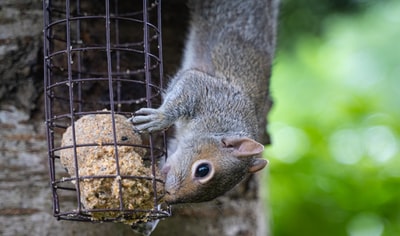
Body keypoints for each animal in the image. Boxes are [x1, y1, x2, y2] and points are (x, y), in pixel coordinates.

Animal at [131, 0, 278, 204]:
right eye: (203, 170)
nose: (169, 197)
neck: (222, 122)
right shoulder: (206, 90)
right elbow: (183, 93)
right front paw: (159, 119)